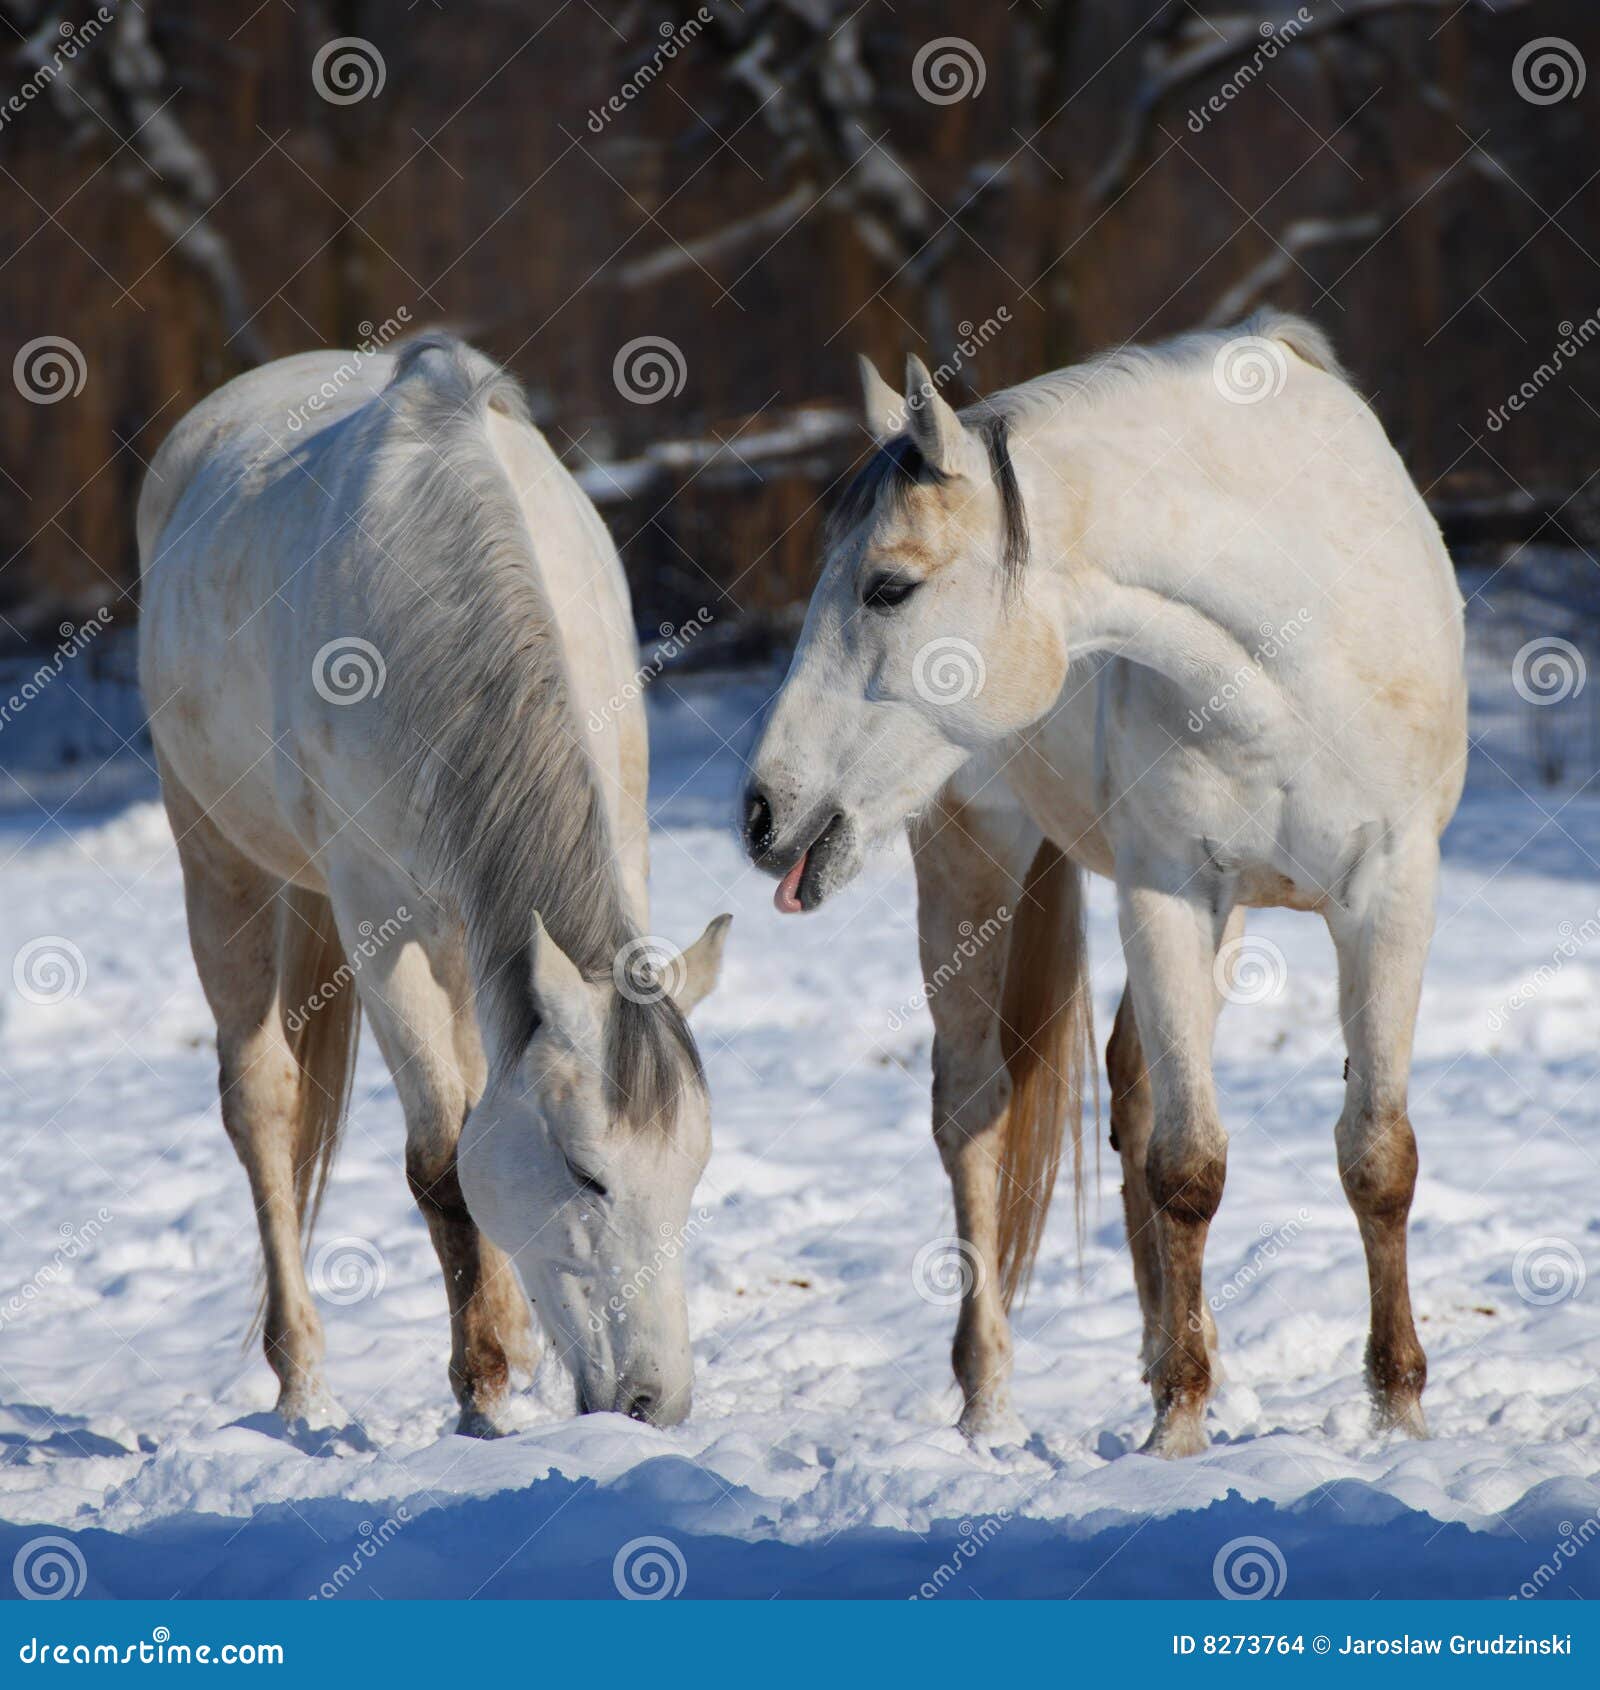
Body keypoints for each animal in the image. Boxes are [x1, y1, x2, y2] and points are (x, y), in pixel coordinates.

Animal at [137, 333, 729, 1436]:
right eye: (586, 1173)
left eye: (692, 1169)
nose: (651, 1402)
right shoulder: (379, 916)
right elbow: (439, 1163)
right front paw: (482, 1395)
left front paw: (506, 1359)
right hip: (219, 859)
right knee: (263, 1105)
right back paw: (302, 1384)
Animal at [743, 313, 1466, 1457]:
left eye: (888, 587)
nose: (766, 811)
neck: (1296, 640)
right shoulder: (1167, 891)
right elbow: (1189, 1164)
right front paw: (1177, 1434)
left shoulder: (1388, 894)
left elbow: (1376, 1156)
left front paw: (1397, 1417)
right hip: (971, 858)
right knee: (974, 1110)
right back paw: (989, 1405)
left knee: (1129, 1081)